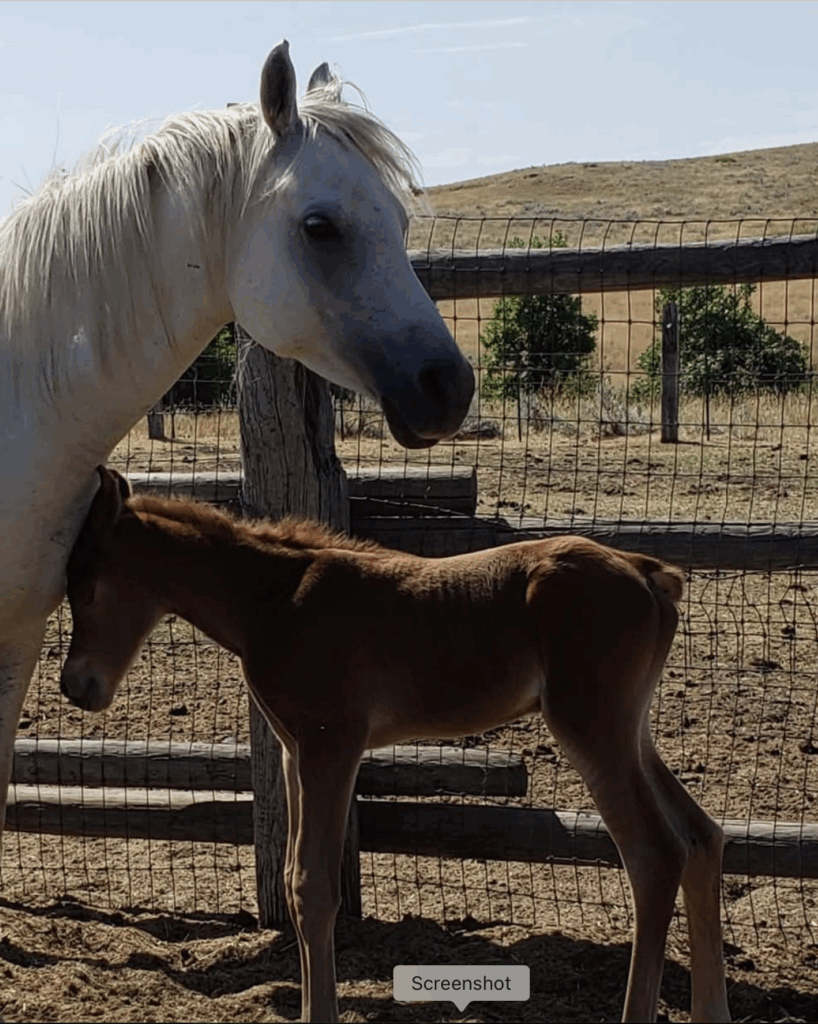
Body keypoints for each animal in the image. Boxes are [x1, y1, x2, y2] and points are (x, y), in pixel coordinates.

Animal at [60, 467, 730, 1024]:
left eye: (86, 588)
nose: (75, 686)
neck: (273, 601)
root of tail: (648, 573)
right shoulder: (294, 752)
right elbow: (292, 878)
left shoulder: (332, 746)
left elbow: (313, 886)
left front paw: (321, 1014)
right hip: (631, 729)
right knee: (702, 836)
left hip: (591, 727)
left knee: (655, 855)